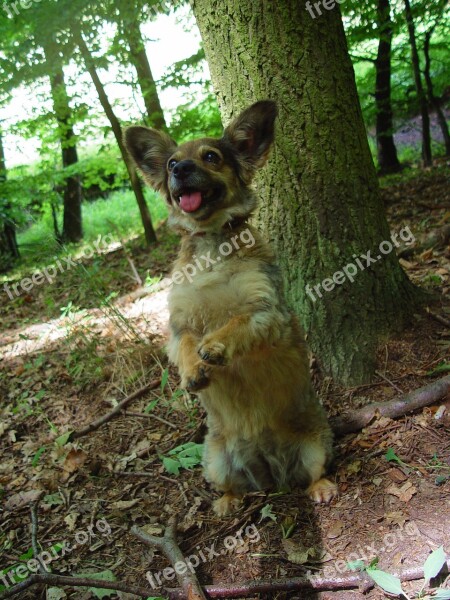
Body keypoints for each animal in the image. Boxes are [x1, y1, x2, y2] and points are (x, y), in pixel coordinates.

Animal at [125, 101, 336, 512]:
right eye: (171, 162)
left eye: (211, 156)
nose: (180, 169)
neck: (212, 243)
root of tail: (273, 474)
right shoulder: (178, 325)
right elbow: (187, 346)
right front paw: (194, 370)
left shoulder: (267, 311)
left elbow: (237, 321)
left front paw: (215, 346)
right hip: (215, 459)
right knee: (231, 486)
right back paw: (227, 501)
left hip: (315, 444)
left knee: (314, 472)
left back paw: (320, 487)